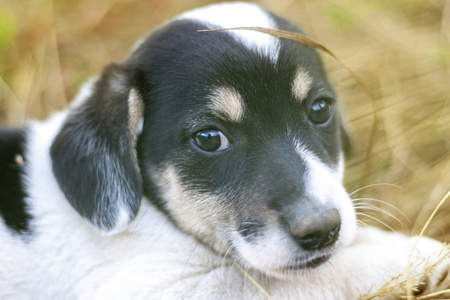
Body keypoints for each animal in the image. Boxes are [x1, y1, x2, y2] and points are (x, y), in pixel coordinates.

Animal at [0, 2, 448, 300]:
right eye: (209, 139)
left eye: (320, 110)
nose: (322, 229)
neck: (154, 215)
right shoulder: (168, 287)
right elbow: (292, 279)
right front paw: (416, 255)